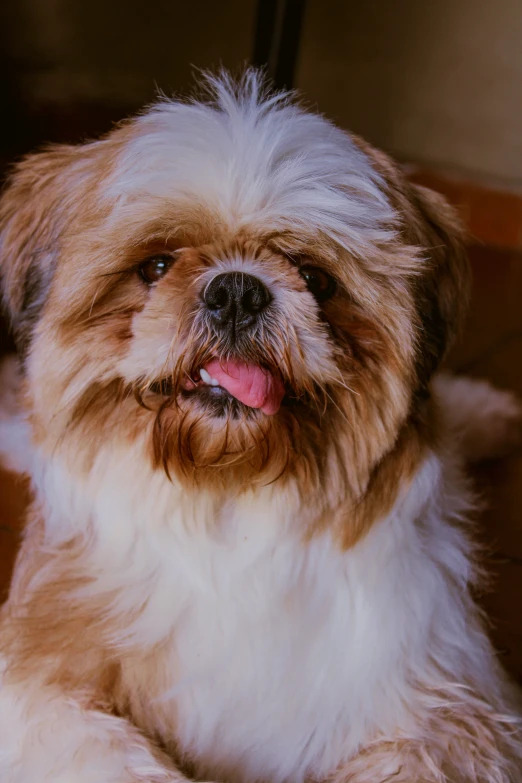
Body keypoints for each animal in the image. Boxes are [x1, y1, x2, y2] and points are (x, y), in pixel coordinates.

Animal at [1, 70, 520, 780]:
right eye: (156, 266)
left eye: (315, 278)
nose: (237, 290)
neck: (228, 504)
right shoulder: (37, 682)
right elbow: (108, 751)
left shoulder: (449, 697)